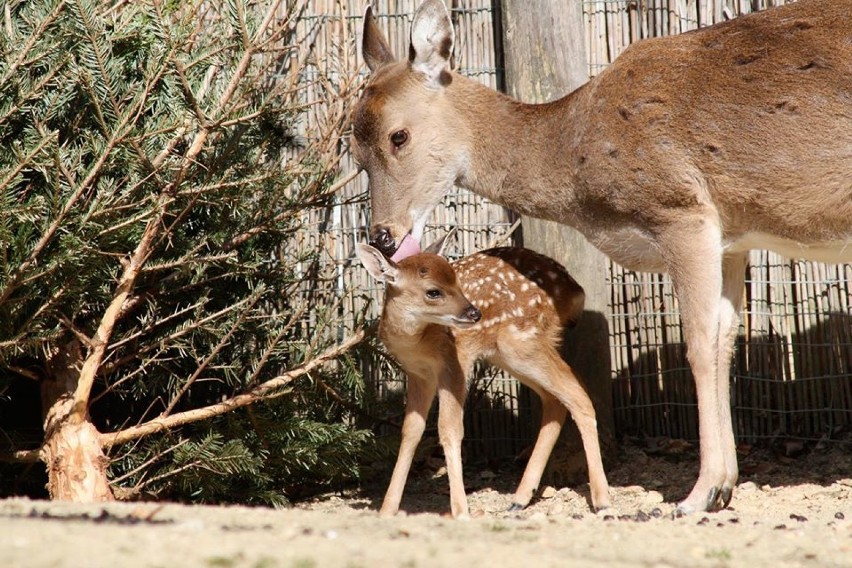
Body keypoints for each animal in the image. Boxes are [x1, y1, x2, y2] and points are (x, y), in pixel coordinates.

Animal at [356, 240, 608, 520]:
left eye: (456, 281)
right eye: (433, 291)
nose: (474, 313)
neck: (417, 343)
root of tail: (575, 292)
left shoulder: (456, 362)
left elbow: (449, 428)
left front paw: (460, 510)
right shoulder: (417, 373)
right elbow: (411, 430)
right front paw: (387, 509)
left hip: (521, 341)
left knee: (577, 393)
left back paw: (602, 501)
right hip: (509, 353)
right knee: (556, 399)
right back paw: (519, 499)